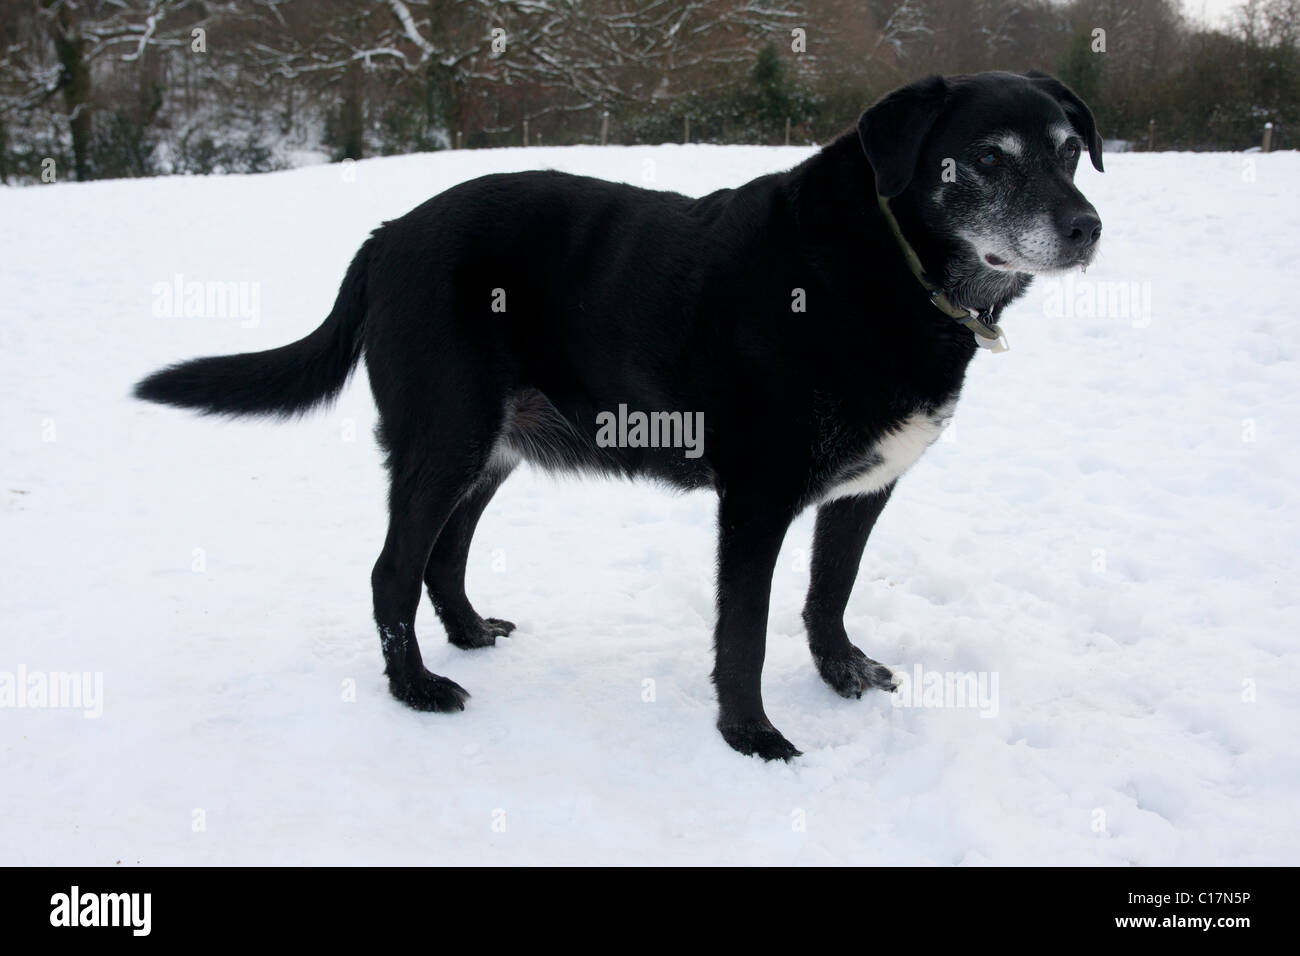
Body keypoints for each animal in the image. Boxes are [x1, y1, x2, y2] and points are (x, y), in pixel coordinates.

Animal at [137, 69, 1102, 764]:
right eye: (987, 159)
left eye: (1068, 152)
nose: (1089, 227)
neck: (893, 268)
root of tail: (388, 234)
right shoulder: (756, 501)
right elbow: (743, 635)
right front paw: (752, 737)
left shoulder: (863, 489)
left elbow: (830, 595)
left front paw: (842, 675)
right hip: (445, 440)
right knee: (390, 572)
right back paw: (416, 689)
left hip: (491, 449)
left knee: (444, 557)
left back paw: (468, 633)